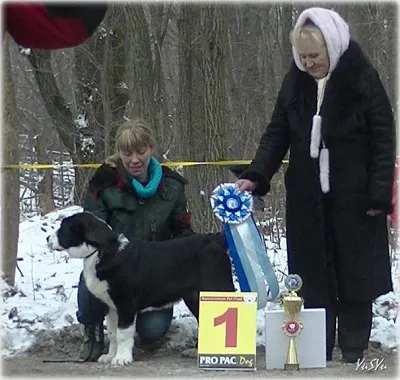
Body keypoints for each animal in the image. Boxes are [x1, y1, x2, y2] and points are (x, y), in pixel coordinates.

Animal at [47, 214, 234, 366]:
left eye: (64, 227)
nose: (48, 238)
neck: (102, 250)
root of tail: (215, 240)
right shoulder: (112, 308)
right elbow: (113, 333)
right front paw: (110, 356)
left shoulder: (125, 304)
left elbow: (123, 333)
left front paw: (121, 358)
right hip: (195, 298)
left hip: (218, 288)